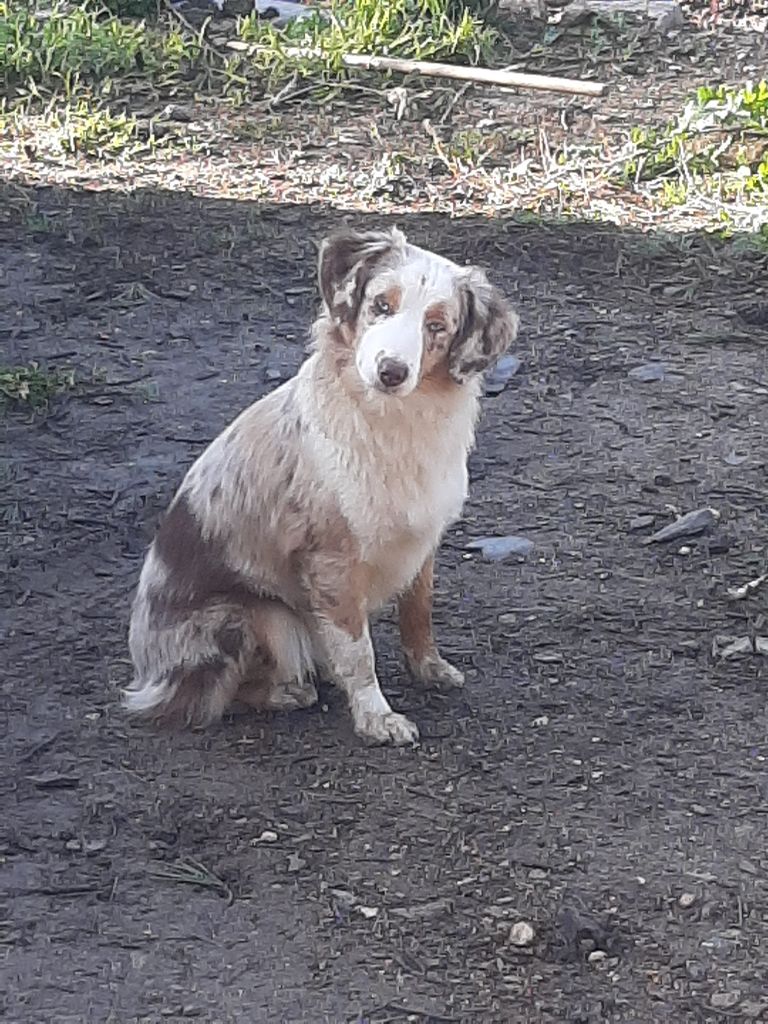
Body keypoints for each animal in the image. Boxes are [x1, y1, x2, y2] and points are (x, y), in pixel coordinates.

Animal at [126, 226, 520, 745]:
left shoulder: (423, 538)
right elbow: (358, 651)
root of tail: (145, 676)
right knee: (204, 699)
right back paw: (287, 693)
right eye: (381, 305)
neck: (393, 423)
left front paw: (430, 669)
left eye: (437, 325)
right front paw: (376, 718)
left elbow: (418, 613)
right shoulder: (332, 561)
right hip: (251, 616)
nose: (391, 372)